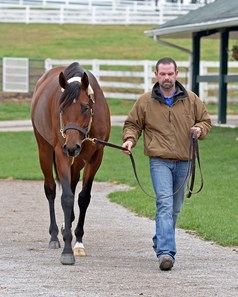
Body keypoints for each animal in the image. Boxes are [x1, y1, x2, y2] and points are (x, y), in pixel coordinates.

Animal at [30, 61, 110, 264]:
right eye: (62, 109)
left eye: (85, 107)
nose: (72, 146)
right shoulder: (61, 154)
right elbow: (66, 198)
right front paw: (67, 251)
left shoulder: (95, 156)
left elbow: (83, 198)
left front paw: (79, 242)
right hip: (45, 149)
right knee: (50, 189)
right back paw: (54, 235)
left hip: (79, 157)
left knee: (73, 181)